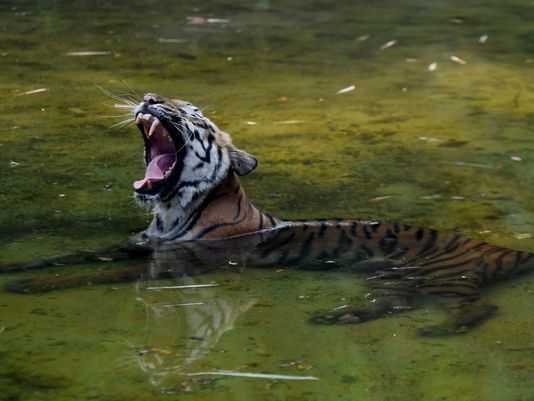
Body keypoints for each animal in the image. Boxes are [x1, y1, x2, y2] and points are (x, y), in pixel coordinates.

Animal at [2, 93, 532, 334]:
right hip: (392, 280)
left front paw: (25, 286)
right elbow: (71, 257)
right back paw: (338, 317)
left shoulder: (174, 262)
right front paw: (17, 266)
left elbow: (86, 275)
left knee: (478, 308)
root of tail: (496, 246)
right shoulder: (140, 244)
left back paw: (440, 329)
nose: (150, 99)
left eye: (191, 113)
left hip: (443, 278)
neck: (169, 211)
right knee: (394, 304)